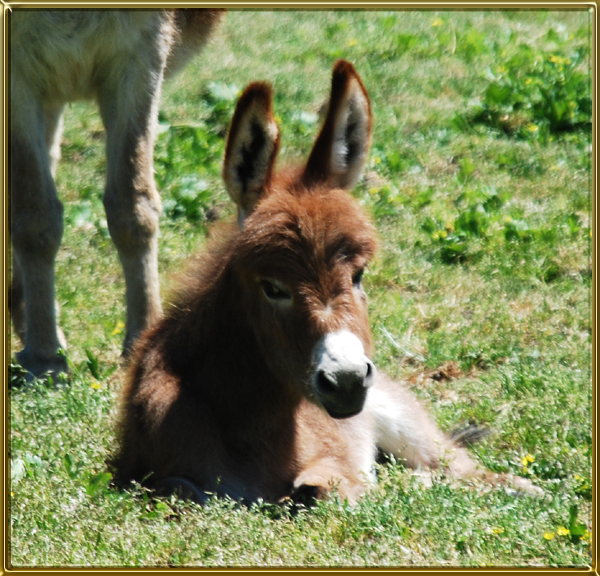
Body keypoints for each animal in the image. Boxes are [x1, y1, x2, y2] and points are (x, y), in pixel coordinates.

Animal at [113, 62, 540, 504]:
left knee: (463, 471)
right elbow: (179, 486)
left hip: (409, 427)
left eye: (359, 274)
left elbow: (318, 488)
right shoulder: (150, 474)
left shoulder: (336, 458)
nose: (347, 381)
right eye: (273, 287)